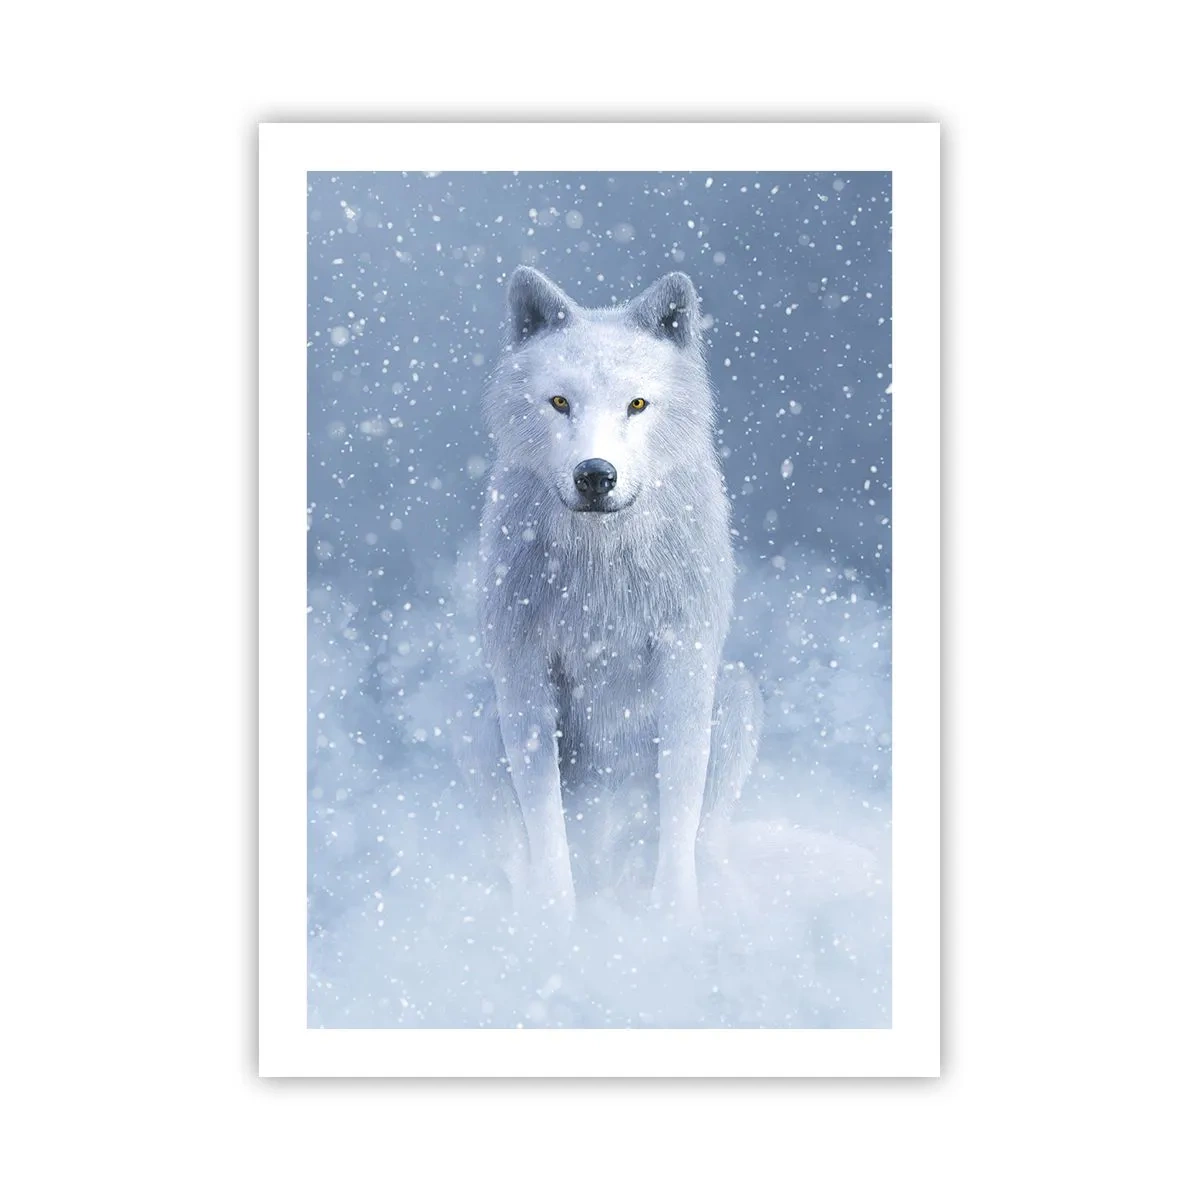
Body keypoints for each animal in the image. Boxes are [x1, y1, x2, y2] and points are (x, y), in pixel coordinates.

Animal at [463, 266, 761, 923]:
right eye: (560, 402)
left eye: (637, 404)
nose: (595, 475)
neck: (600, 569)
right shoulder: (523, 670)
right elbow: (545, 816)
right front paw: (555, 922)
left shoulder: (684, 660)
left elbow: (680, 801)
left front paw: (674, 919)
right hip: (475, 716)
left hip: (736, 695)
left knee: (708, 835)